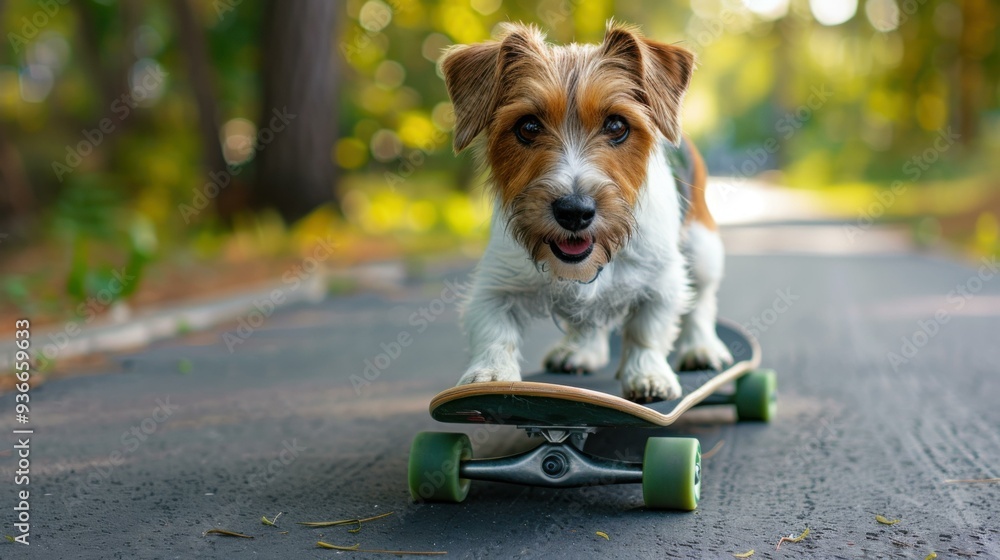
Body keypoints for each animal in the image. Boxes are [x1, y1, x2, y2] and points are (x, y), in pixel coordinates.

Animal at [442, 20, 732, 398]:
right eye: (528, 126)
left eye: (617, 125)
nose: (574, 211)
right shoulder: (495, 284)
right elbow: (493, 330)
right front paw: (491, 374)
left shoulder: (663, 280)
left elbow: (648, 331)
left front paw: (648, 373)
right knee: (589, 320)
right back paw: (581, 350)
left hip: (702, 247)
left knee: (701, 301)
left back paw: (700, 347)